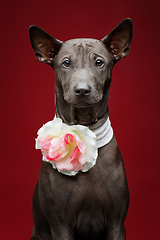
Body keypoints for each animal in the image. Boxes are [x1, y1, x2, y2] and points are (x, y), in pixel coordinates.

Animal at [29, 17, 132, 239]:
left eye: (99, 62)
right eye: (66, 63)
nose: (82, 90)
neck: (85, 129)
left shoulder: (117, 224)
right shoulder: (60, 226)